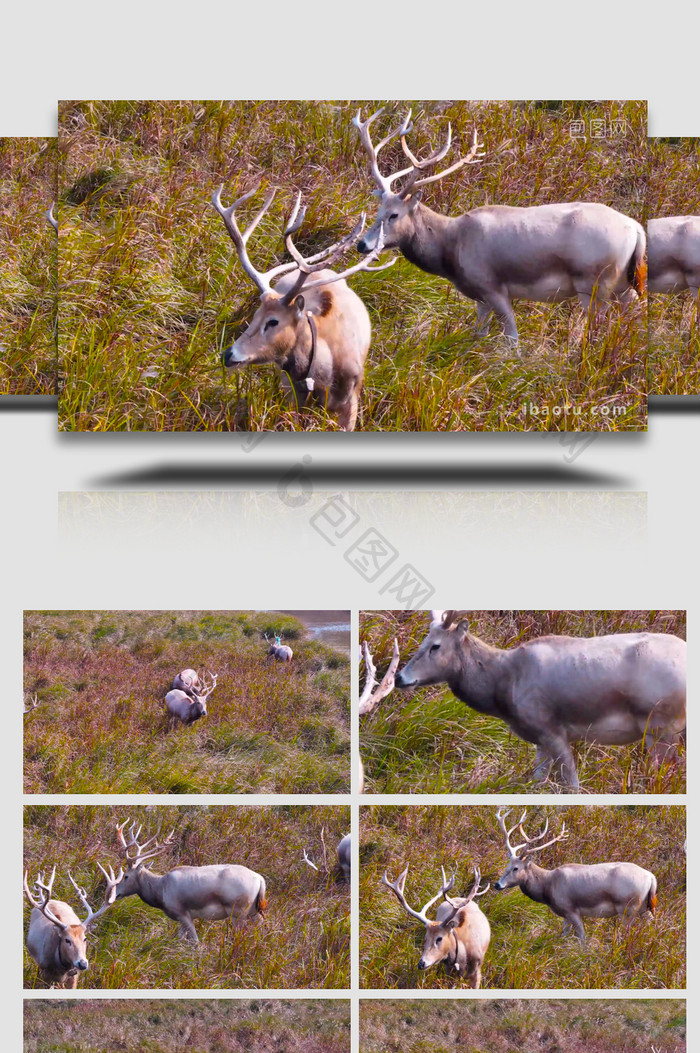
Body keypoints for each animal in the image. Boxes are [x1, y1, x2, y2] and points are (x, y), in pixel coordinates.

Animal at [110, 817, 266, 943]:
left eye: (126, 876)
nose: (116, 894)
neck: (160, 891)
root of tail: (260, 880)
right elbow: (179, 939)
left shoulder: (182, 913)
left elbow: (195, 942)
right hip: (254, 911)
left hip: (237, 912)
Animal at [210, 184, 389, 427]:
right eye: (255, 315)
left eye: (273, 322)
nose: (228, 355)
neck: (324, 377)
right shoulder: (292, 396)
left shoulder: (353, 398)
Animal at [490, 808, 656, 943]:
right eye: (507, 866)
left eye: (516, 868)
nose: (497, 884)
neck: (548, 887)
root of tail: (651, 877)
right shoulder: (564, 914)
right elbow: (563, 934)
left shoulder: (571, 909)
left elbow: (582, 938)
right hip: (644, 907)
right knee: (653, 923)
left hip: (626, 907)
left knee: (627, 931)